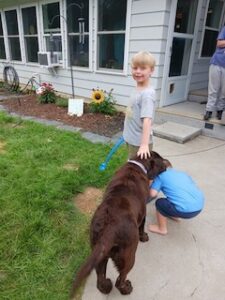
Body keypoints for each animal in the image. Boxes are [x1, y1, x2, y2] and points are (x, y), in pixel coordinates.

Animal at [71, 151, 165, 296]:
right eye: (161, 160)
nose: (167, 165)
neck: (138, 164)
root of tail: (108, 229)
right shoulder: (142, 213)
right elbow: (142, 226)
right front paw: (144, 237)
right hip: (129, 254)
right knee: (120, 279)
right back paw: (127, 288)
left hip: (99, 253)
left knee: (100, 278)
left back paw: (106, 287)